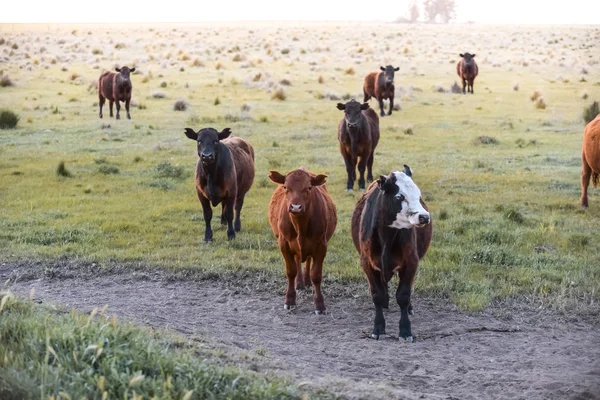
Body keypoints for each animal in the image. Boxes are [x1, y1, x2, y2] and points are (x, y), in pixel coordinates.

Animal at [268, 167, 338, 314]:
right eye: (285, 187)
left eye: (309, 188)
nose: (295, 207)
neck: (300, 225)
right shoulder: (284, 244)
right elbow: (291, 272)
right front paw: (289, 300)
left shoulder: (321, 245)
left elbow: (316, 275)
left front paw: (319, 304)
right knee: (298, 261)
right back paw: (299, 283)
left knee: (308, 261)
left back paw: (306, 281)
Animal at [352, 167, 432, 342]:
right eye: (399, 196)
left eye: (419, 195)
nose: (424, 217)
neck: (386, 237)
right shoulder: (367, 263)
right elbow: (377, 295)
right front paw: (378, 328)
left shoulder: (411, 262)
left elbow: (403, 295)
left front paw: (405, 331)